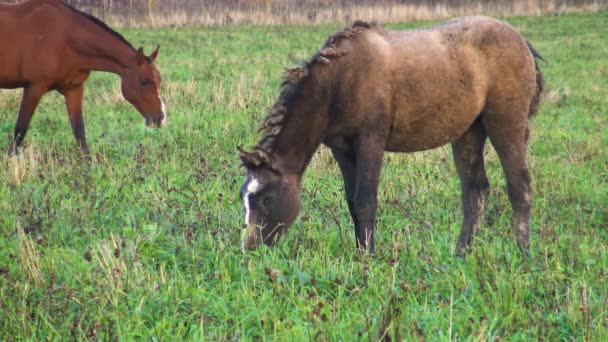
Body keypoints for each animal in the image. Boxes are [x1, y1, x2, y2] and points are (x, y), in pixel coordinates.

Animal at [0, 0, 166, 155]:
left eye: (159, 81)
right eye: (144, 82)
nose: (161, 118)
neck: (64, 37)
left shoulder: (74, 89)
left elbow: (79, 130)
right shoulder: (34, 88)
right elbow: (20, 129)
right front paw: (10, 158)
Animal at [236, 16, 540, 256]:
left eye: (266, 198)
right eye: (244, 198)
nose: (249, 248)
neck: (338, 83)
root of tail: (522, 41)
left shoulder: (370, 141)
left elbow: (366, 200)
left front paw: (368, 259)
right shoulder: (342, 149)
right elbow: (352, 202)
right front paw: (360, 252)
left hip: (506, 123)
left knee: (519, 185)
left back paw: (523, 252)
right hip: (468, 133)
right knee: (475, 191)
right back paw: (461, 254)